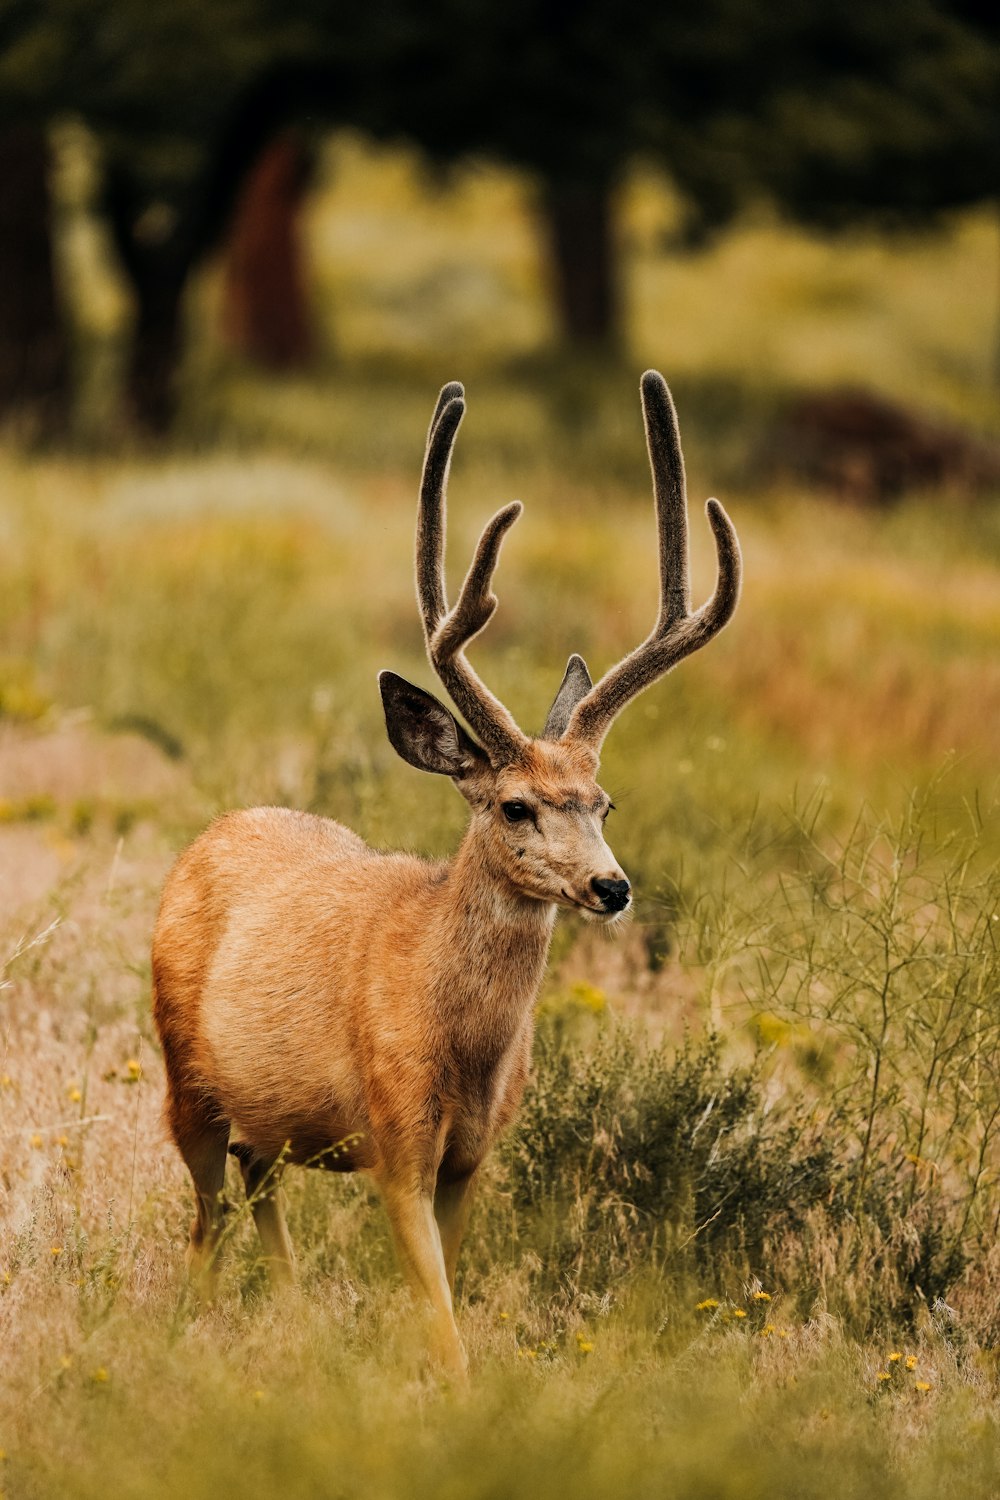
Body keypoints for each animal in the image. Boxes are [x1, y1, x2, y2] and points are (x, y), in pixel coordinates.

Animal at [150, 369, 743, 1374]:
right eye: (515, 806)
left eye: (604, 803)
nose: (611, 888)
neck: (462, 1043)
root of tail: (214, 832)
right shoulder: (394, 1140)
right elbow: (443, 1326)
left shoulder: (473, 1154)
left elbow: (447, 1298)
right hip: (182, 1074)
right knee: (206, 1213)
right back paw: (194, 1322)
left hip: (268, 1115)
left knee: (255, 1180)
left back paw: (294, 1312)